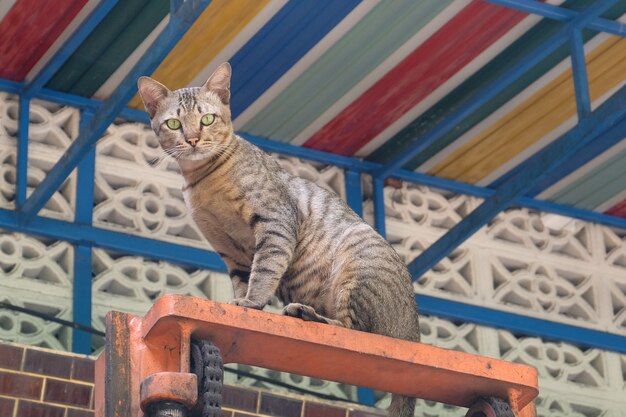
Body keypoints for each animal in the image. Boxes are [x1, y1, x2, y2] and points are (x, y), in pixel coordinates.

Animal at [136, 61, 420, 416]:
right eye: (173, 123)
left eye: (207, 119)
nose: (192, 139)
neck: (203, 181)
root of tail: (414, 330)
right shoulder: (231, 251)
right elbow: (243, 279)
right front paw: (240, 306)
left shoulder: (275, 223)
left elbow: (265, 271)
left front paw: (252, 302)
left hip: (357, 268)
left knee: (357, 332)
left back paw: (308, 314)